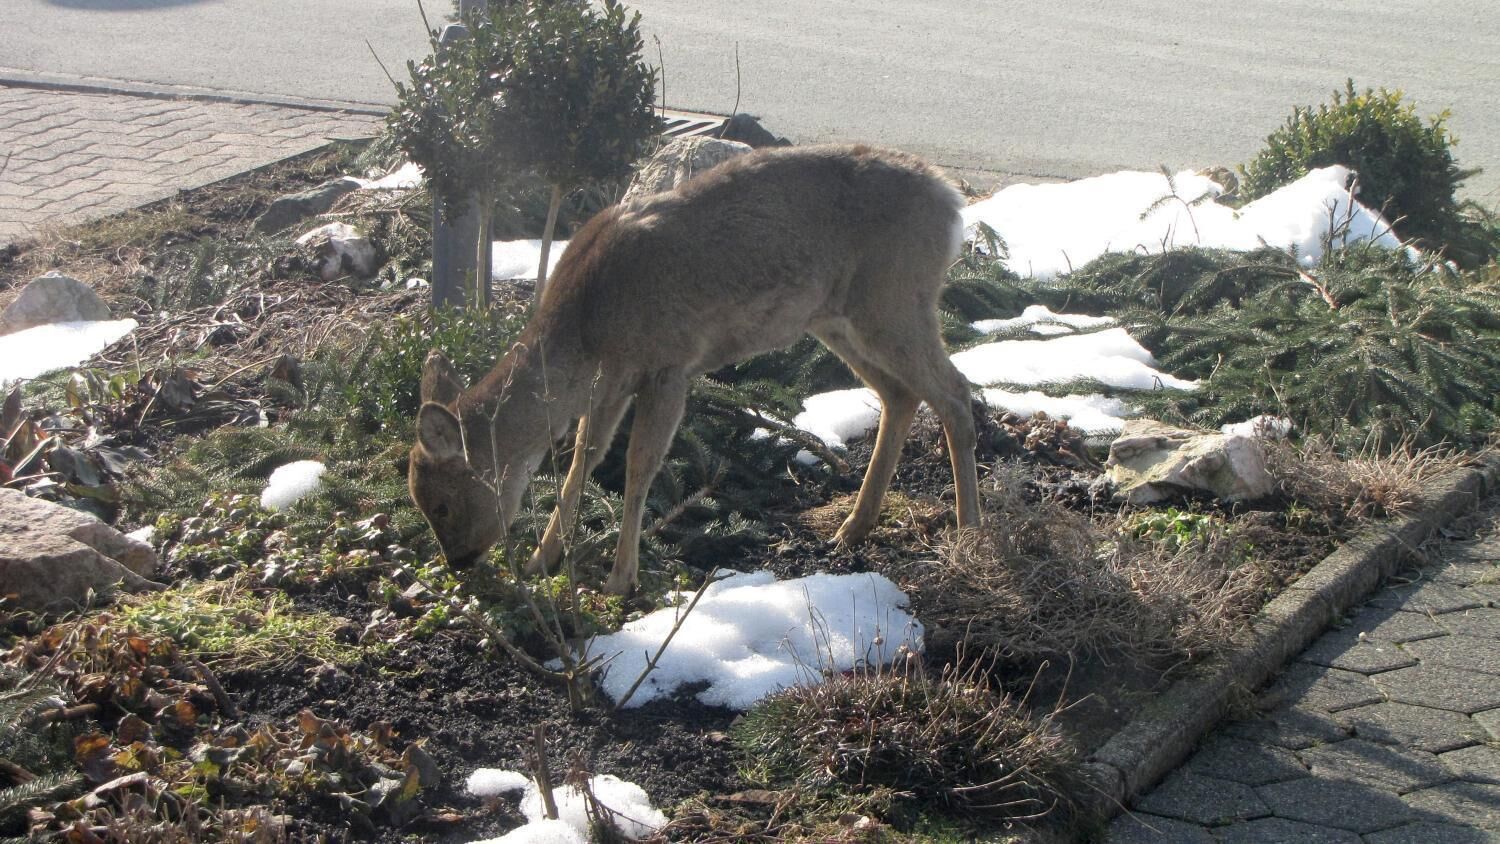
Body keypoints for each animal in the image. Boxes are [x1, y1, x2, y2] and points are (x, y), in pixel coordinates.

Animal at [409, 144, 981, 595]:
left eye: (440, 505)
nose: (458, 563)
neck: (586, 329)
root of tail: (952, 201)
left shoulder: (669, 364)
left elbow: (639, 467)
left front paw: (620, 580)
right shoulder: (611, 384)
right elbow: (582, 460)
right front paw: (540, 561)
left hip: (895, 297)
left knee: (955, 390)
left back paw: (970, 530)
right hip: (838, 317)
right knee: (901, 394)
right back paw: (852, 528)